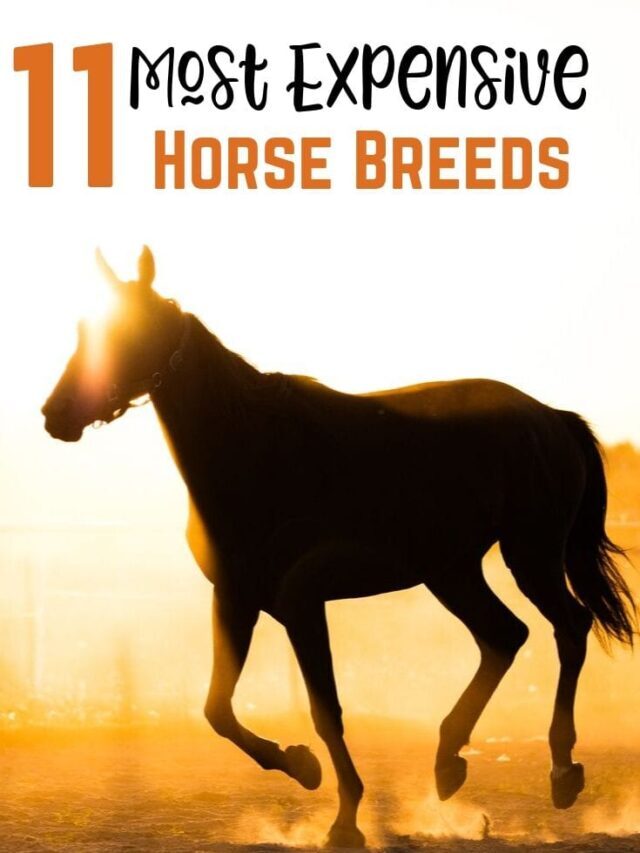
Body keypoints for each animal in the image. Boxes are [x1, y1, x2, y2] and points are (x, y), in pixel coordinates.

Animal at [42, 246, 636, 848]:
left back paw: (561, 771)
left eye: (127, 333)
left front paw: (345, 818)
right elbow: (217, 709)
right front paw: (301, 767)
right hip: (452, 570)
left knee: (569, 627)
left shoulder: (302, 602)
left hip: (529, 555)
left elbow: (325, 710)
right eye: (83, 329)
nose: (56, 414)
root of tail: (551, 417)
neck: (253, 448)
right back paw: (449, 763)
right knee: (505, 637)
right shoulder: (236, 598)